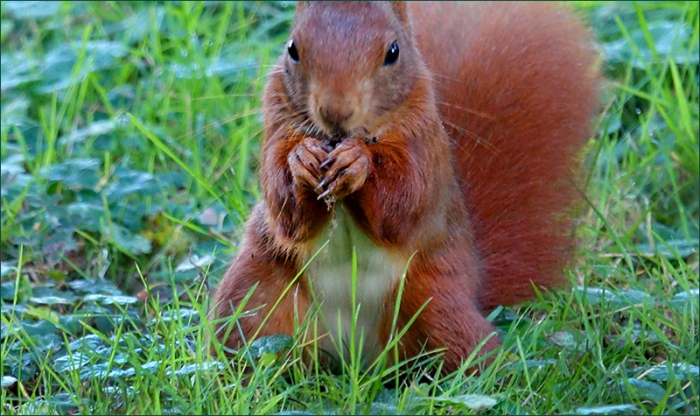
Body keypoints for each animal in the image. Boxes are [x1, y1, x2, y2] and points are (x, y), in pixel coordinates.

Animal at [210, 1, 601, 374]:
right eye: (292, 48)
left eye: (393, 52)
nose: (336, 112)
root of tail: (354, 358)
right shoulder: (276, 125)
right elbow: (285, 209)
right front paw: (302, 158)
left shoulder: (423, 138)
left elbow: (404, 201)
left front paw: (358, 163)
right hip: (256, 298)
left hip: (436, 305)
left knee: (474, 361)